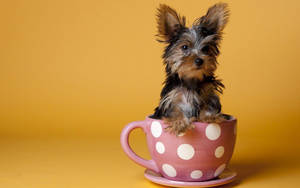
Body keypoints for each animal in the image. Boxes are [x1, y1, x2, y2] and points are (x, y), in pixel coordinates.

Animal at [151, 2, 231, 135]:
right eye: (184, 47)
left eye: (206, 49)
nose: (199, 60)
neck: (191, 79)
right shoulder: (171, 99)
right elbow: (174, 110)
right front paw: (179, 122)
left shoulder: (208, 94)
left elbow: (208, 105)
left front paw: (210, 116)